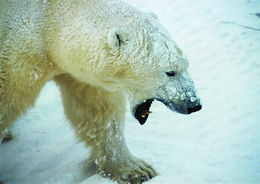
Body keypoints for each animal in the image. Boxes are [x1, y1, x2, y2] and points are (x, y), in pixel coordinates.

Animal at [0, 0, 202, 183]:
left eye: (187, 64)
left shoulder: (82, 73)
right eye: (170, 72)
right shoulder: (18, 56)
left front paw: (137, 169)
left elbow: (97, 111)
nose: (194, 104)